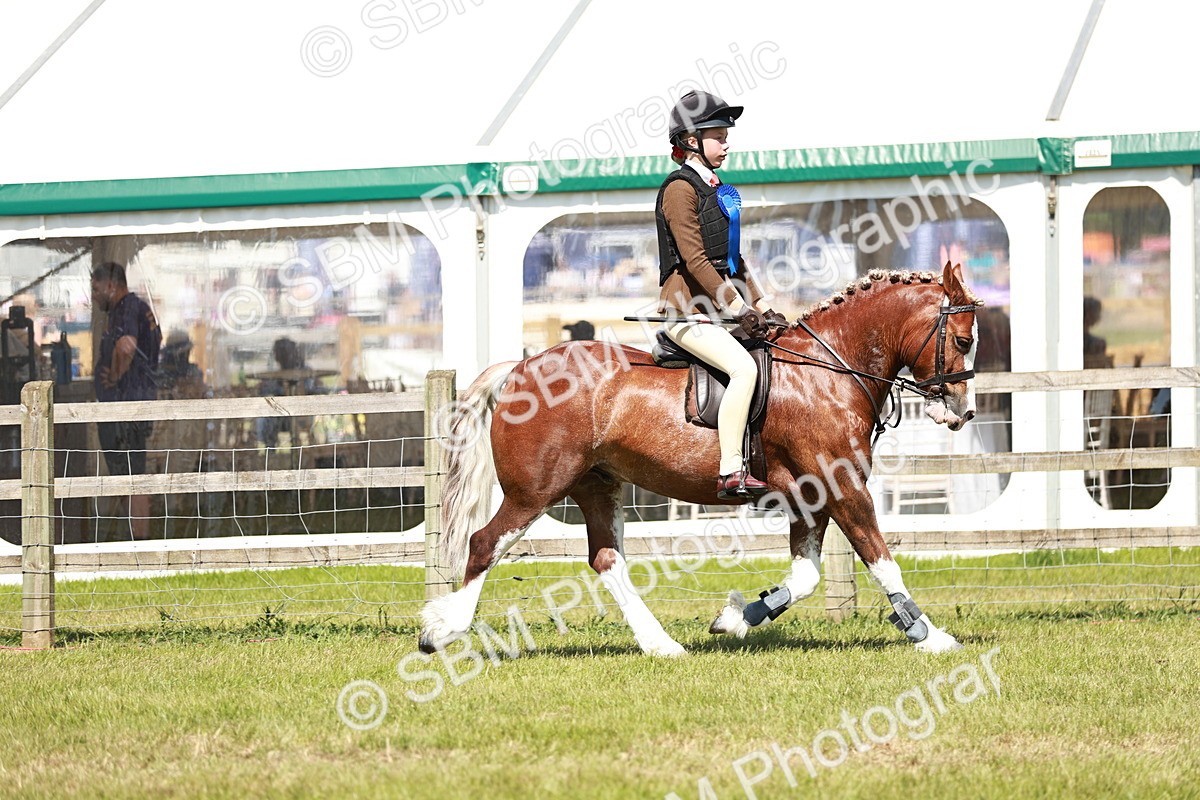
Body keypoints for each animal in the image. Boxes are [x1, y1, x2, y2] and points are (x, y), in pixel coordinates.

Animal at [420, 261, 981, 656]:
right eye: (962, 339)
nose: (964, 412)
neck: (827, 371)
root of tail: (520, 368)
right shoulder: (843, 488)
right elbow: (883, 563)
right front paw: (929, 636)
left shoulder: (812, 498)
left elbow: (805, 577)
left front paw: (736, 618)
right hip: (535, 490)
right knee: (484, 544)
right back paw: (441, 630)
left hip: (597, 484)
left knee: (607, 560)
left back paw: (662, 645)